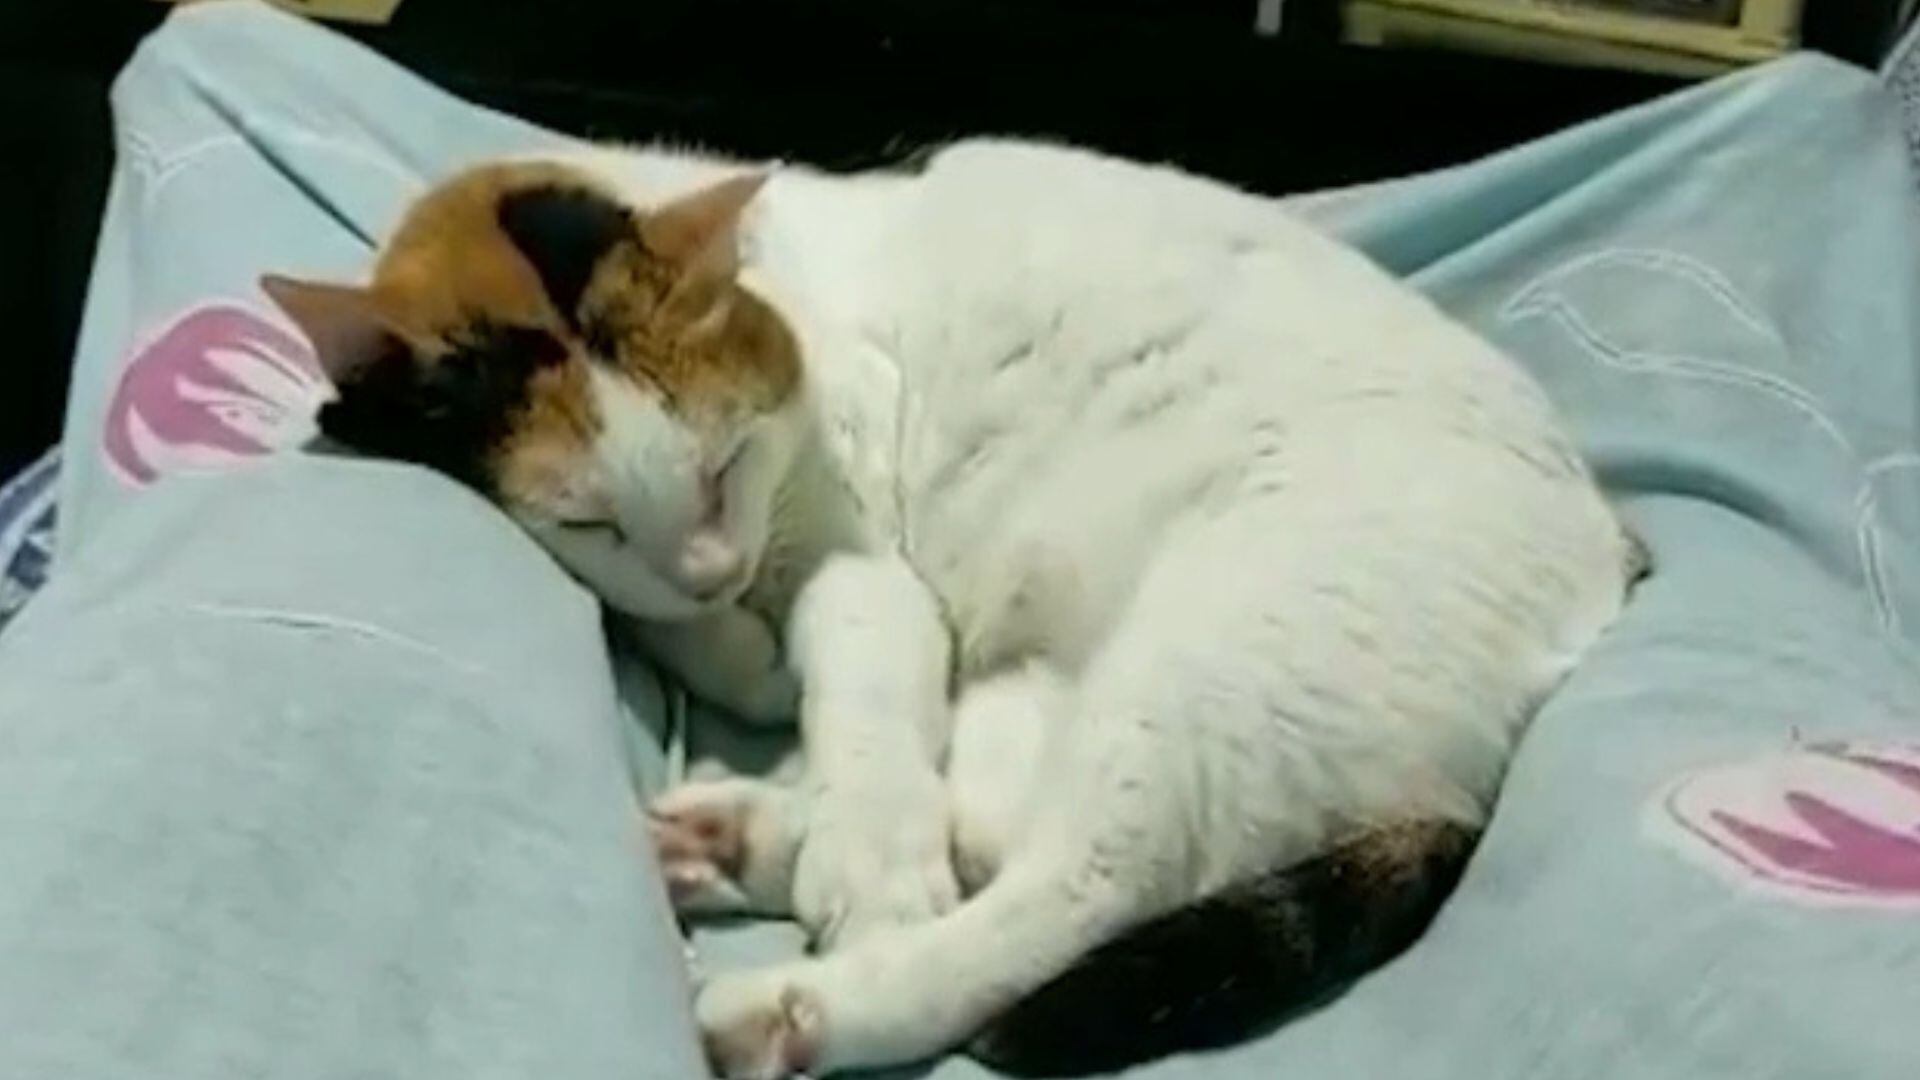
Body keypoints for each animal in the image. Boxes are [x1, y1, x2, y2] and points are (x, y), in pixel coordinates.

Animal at [263, 140, 1642, 1079]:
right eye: (589, 524)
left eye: (722, 462)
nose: (712, 571)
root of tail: (1606, 582)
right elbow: (711, 646)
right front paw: (730, 656)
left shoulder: (864, 573)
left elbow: (856, 709)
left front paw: (860, 849)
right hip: (1053, 693)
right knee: (991, 825)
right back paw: (724, 841)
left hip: (1208, 666)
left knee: (1062, 900)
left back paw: (794, 1002)